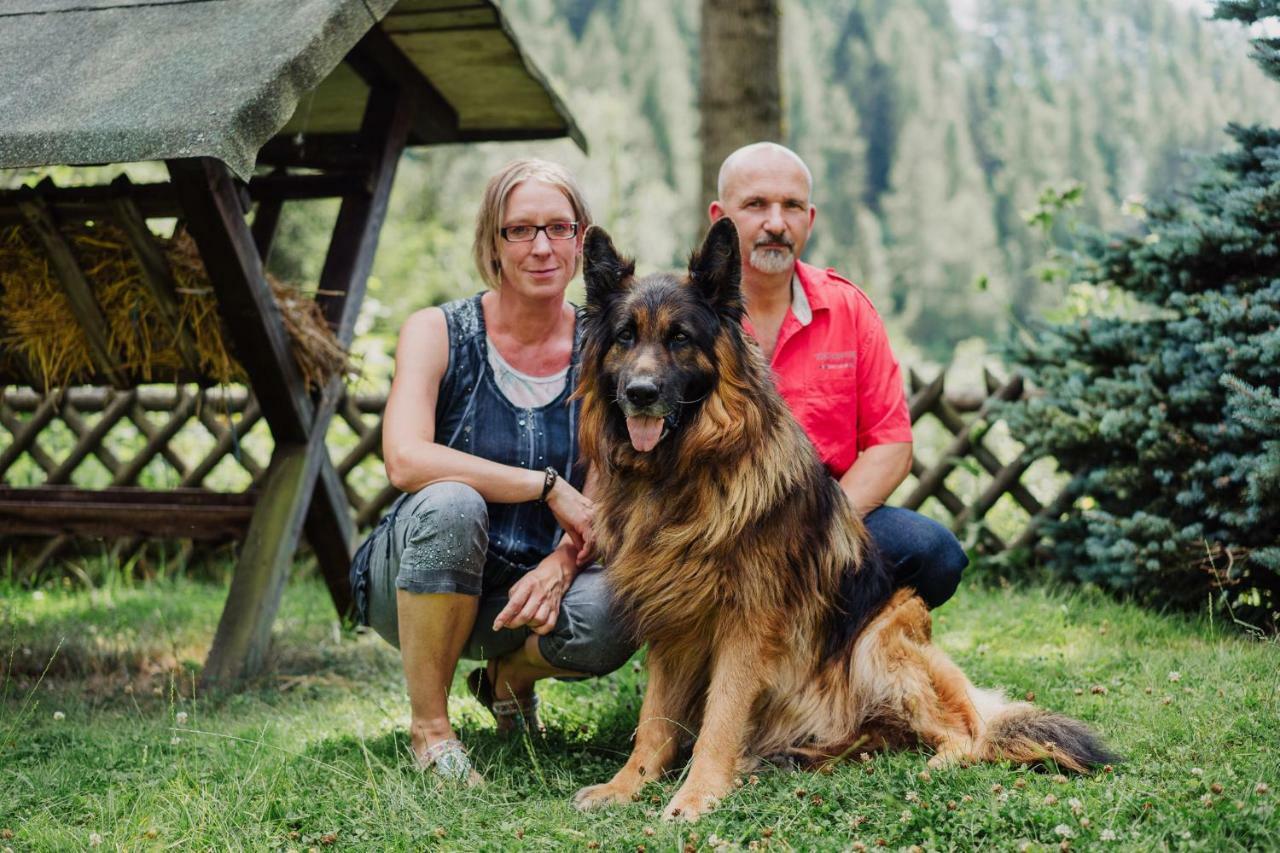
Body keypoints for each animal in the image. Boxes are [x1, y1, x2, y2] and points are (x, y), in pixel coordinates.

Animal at [568, 217, 1111, 819]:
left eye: (679, 337)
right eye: (625, 336)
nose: (640, 394)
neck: (682, 474)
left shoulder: (746, 624)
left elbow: (720, 717)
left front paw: (698, 793)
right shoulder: (671, 620)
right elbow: (653, 720)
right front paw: (627, 784)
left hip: (882, 641)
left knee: (968, 734)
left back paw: (935, 767)